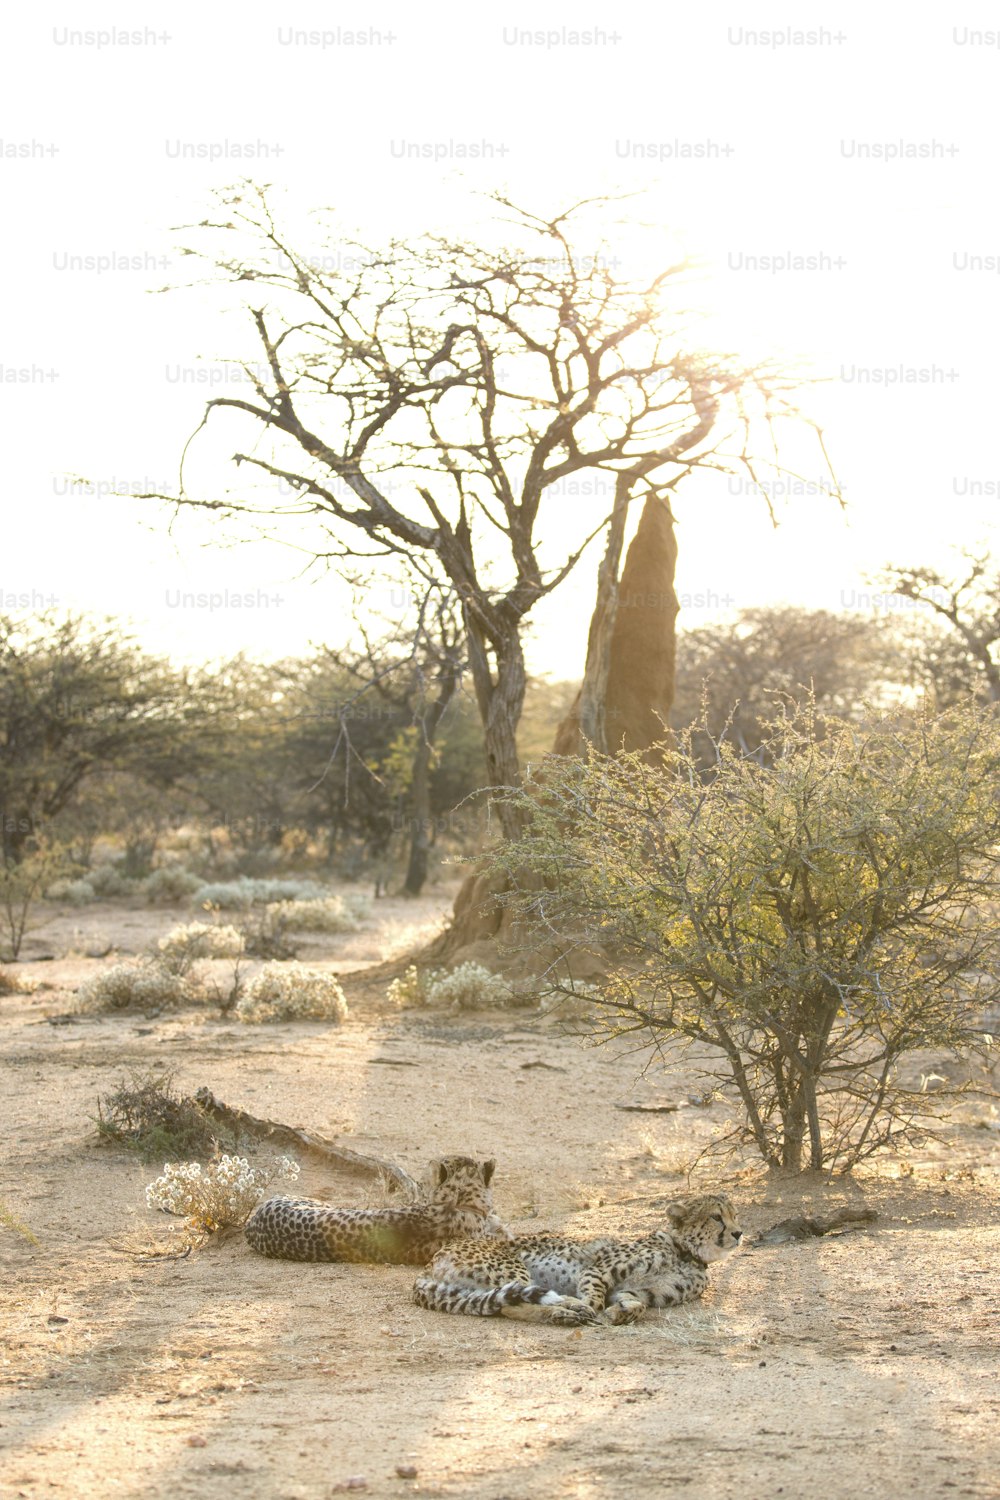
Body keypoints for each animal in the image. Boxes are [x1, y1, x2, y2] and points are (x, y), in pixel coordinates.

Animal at [410, 1194, 740, 1326]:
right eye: (716, 1217)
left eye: (734, 1214)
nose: (738, 1233)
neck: (686, 1254)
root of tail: (428, 1267)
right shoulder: (597, 1271)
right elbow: (594, 1298)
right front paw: (590, 1308)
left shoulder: (634, 1291)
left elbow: (638, 1305)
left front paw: (620, 1314)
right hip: (512, 1267)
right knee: (514, 1304)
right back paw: (567, 1310)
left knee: (506, 1304)